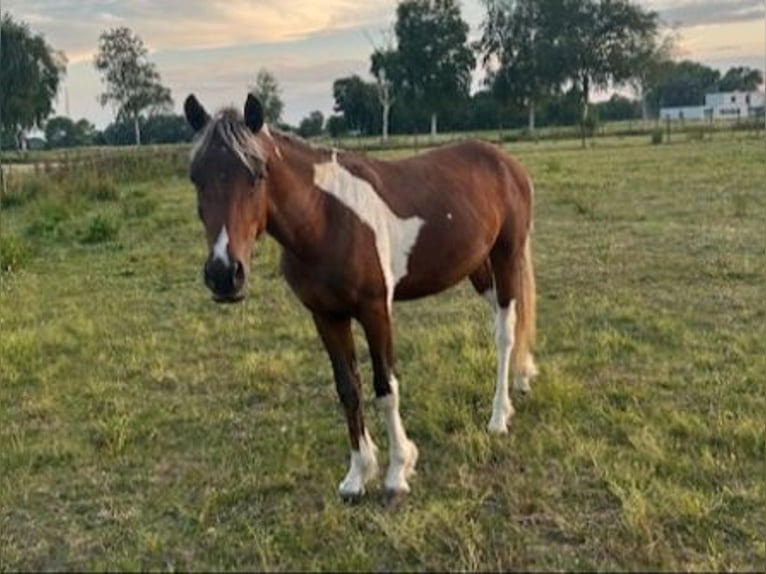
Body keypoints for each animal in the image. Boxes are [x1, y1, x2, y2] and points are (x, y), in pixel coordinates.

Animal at [183, 93, 538, 502]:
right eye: (196, 178)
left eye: (257, 174)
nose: (224, 274)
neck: (326, 219)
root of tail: (507, 163)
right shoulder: (326, 315)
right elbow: (347, 389)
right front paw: (357, 475)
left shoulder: (375, 310)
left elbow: (385, 387)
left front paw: (398, 471)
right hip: (478, 269)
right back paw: (522, 379)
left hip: (506, 257)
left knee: (505, 331)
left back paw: (498, 418)